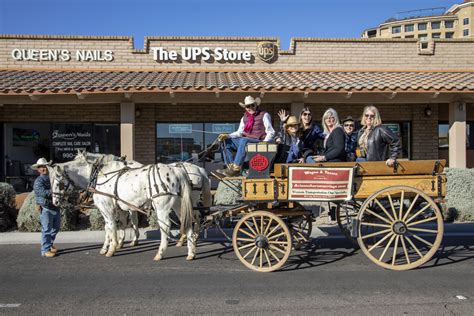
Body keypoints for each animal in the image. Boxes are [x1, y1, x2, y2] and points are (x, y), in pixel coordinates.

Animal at [48, 152, 196, 260]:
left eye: (58, 182)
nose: (55, 202)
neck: (100, 176)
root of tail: (178, 172)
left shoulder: (107, 208)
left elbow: (111, 227)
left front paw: (111, 249)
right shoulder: (118, 209)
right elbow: (113, 227)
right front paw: (109, 246)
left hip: (162, 208)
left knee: (165, 227)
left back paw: (160, 253)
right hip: (178, 205)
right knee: (187, 222)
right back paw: (191, 252)